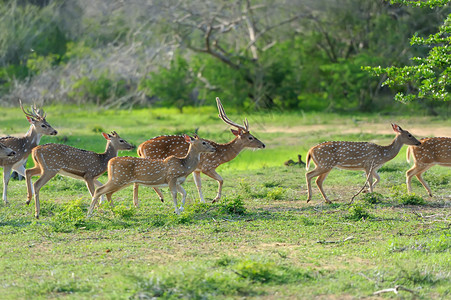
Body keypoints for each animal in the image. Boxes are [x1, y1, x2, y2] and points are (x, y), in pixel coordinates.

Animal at [132, 97, 264, 205]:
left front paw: (203, 201)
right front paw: (214, 199)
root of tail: (140, 148)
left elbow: (198, 185)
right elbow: (221, 180)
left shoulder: (197, 169)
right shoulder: (208, 166)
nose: (263, 145)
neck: (222, 155)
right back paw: (159, 198)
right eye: (250, 137)